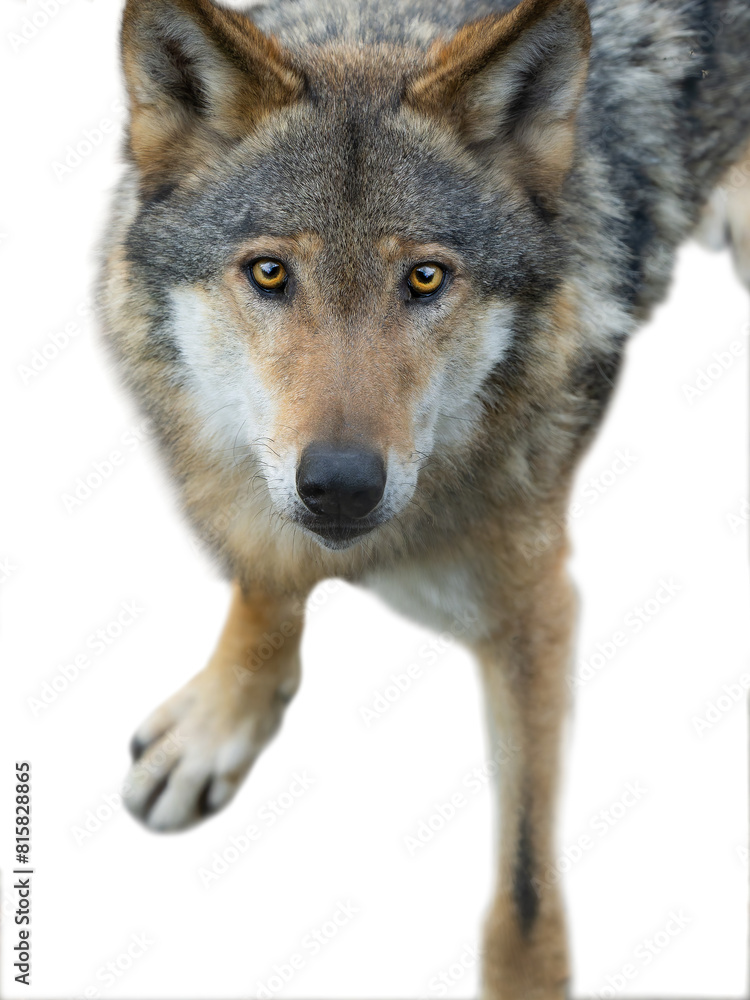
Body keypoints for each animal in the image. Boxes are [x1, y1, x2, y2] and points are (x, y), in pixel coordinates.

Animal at [97, 0, 750, 994]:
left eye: (426, 278)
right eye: (270, 273)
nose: (338, 485)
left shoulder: (534, 612)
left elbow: (524, 877)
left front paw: (528, 979)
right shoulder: (255, 496)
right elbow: (265, 587)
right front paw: (222, 722)